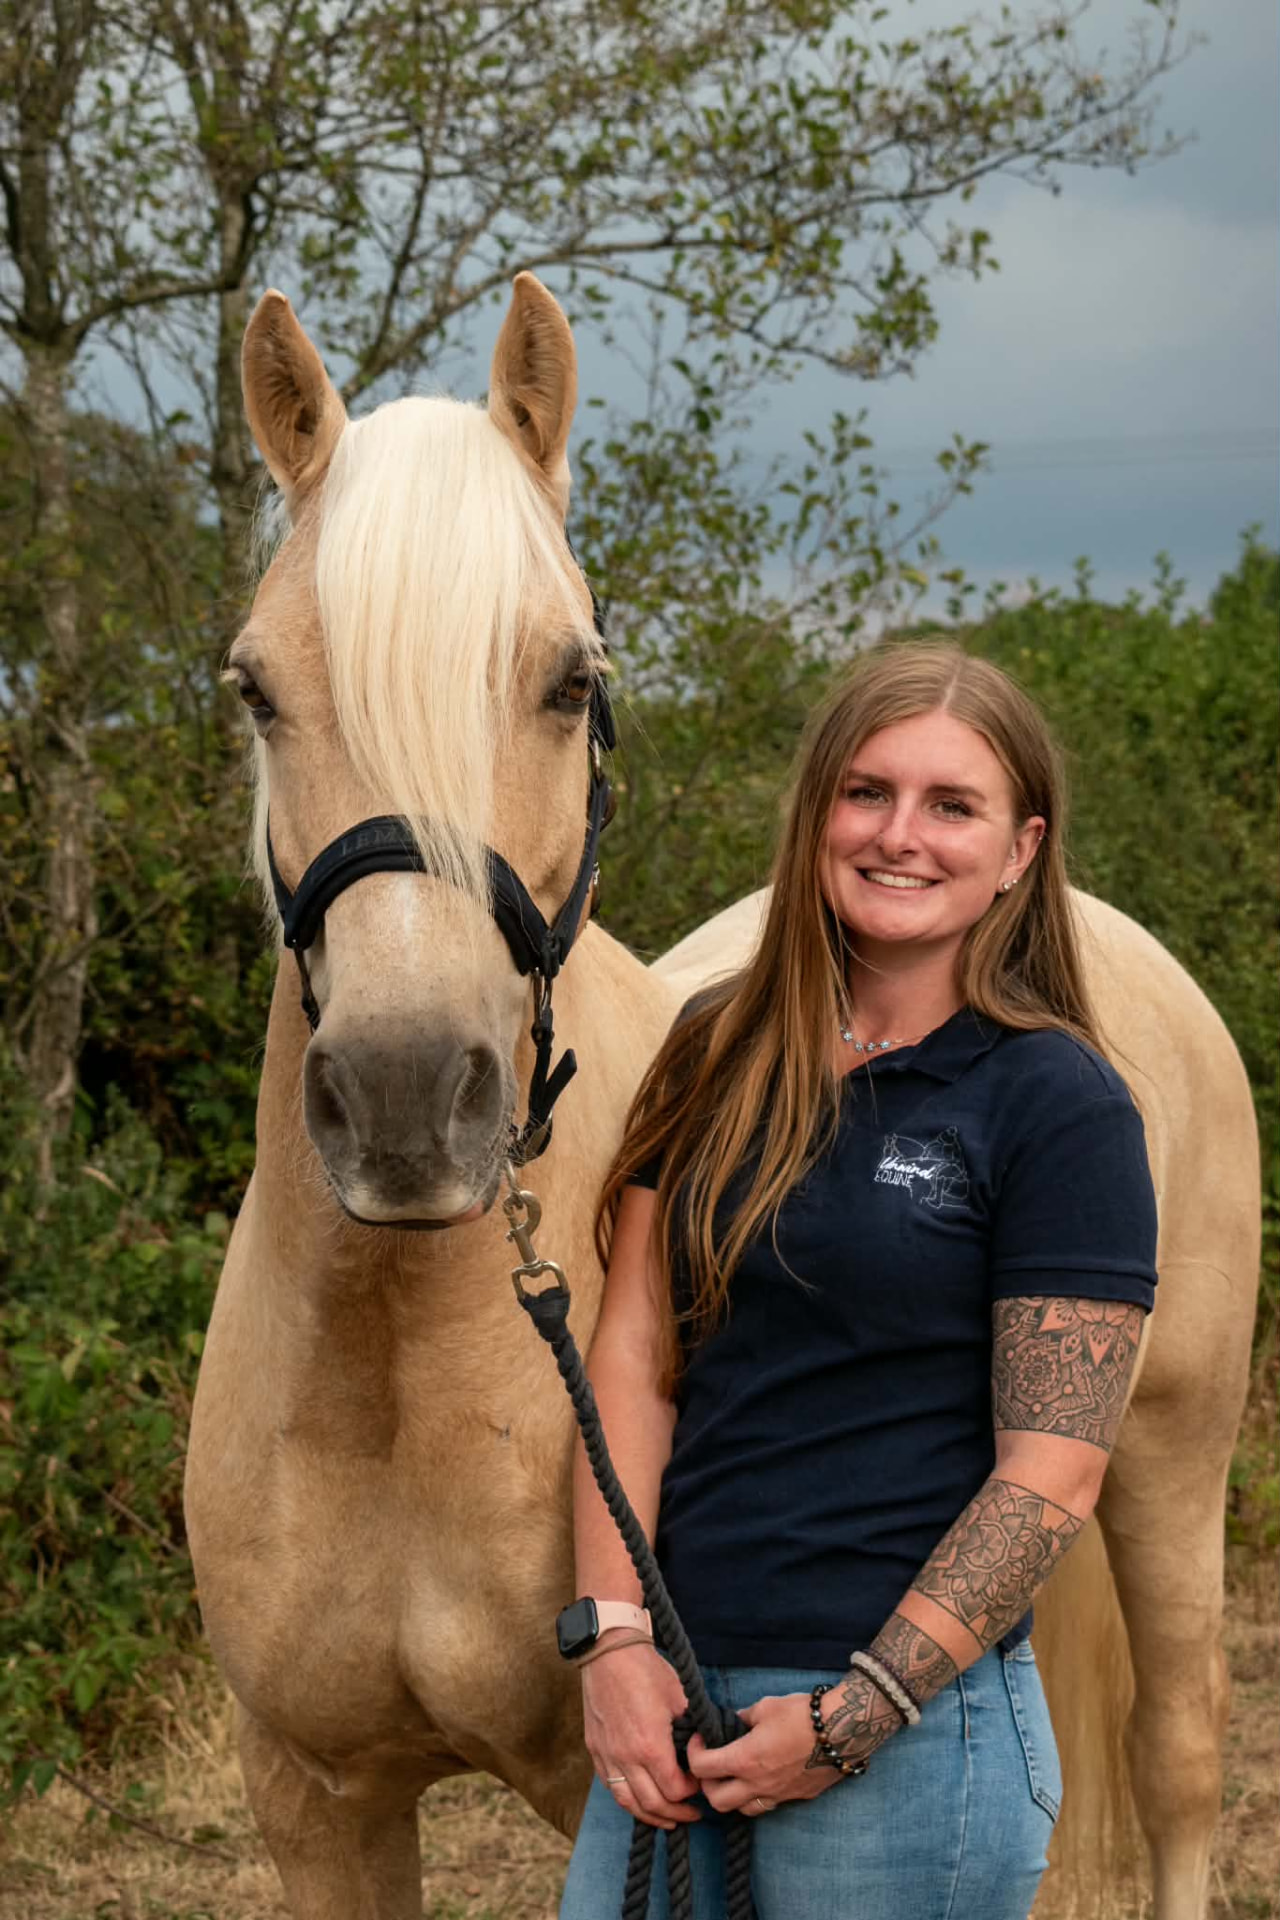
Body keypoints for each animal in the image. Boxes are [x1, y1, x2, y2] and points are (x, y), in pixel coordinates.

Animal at [184, 272, 1259, 1920]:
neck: (406, 1365)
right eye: (256, 690)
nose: (407, 1101)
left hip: (1167, 1460)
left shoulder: (619, 1793)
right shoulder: (316, 1798)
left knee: (1180, 1752)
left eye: (570, 683)